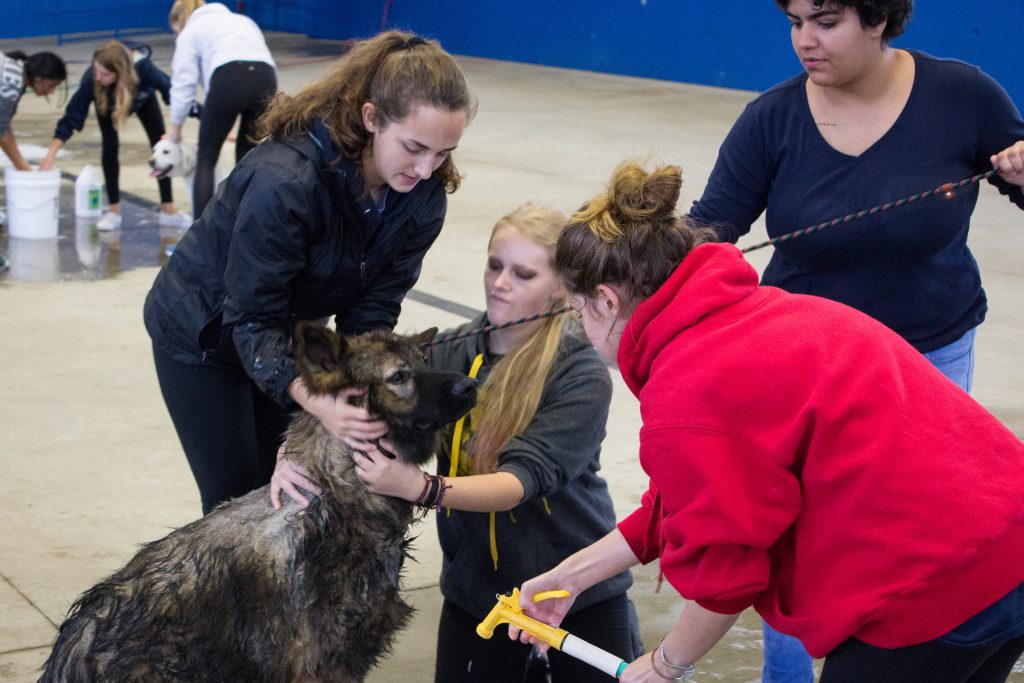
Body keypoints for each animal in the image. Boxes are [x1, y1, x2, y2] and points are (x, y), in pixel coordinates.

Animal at [41, 323, 481, 683]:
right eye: (398, 377)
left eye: (425, 361)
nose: (470, 386)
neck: (338, 487)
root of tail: (78, 640)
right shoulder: (323, 666)